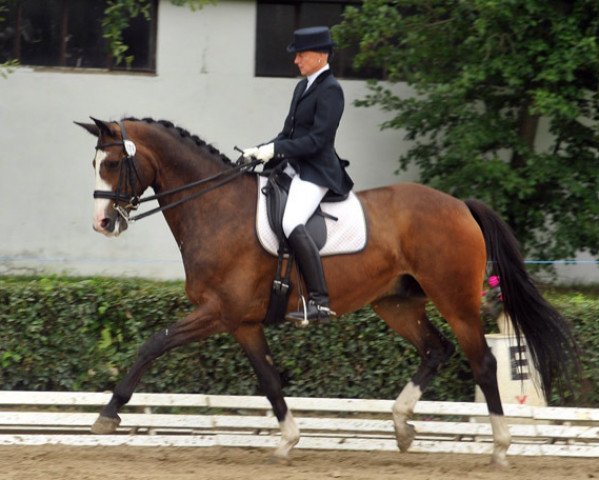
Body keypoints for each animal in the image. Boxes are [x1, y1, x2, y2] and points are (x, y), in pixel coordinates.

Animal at [77, 116, 580, 464]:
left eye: (114, 163)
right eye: (94, 164)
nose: (101, 223)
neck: (215, 208)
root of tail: (459, 204)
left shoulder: (218, 312)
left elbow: (153, 344)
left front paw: (108, 414)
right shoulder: (242, 322)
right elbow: (268, 379)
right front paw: (288, 441)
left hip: (455, 301)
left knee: (483, 362)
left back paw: (499, 447)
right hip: (397, 303)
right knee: (435, 350)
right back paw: (402, 426)